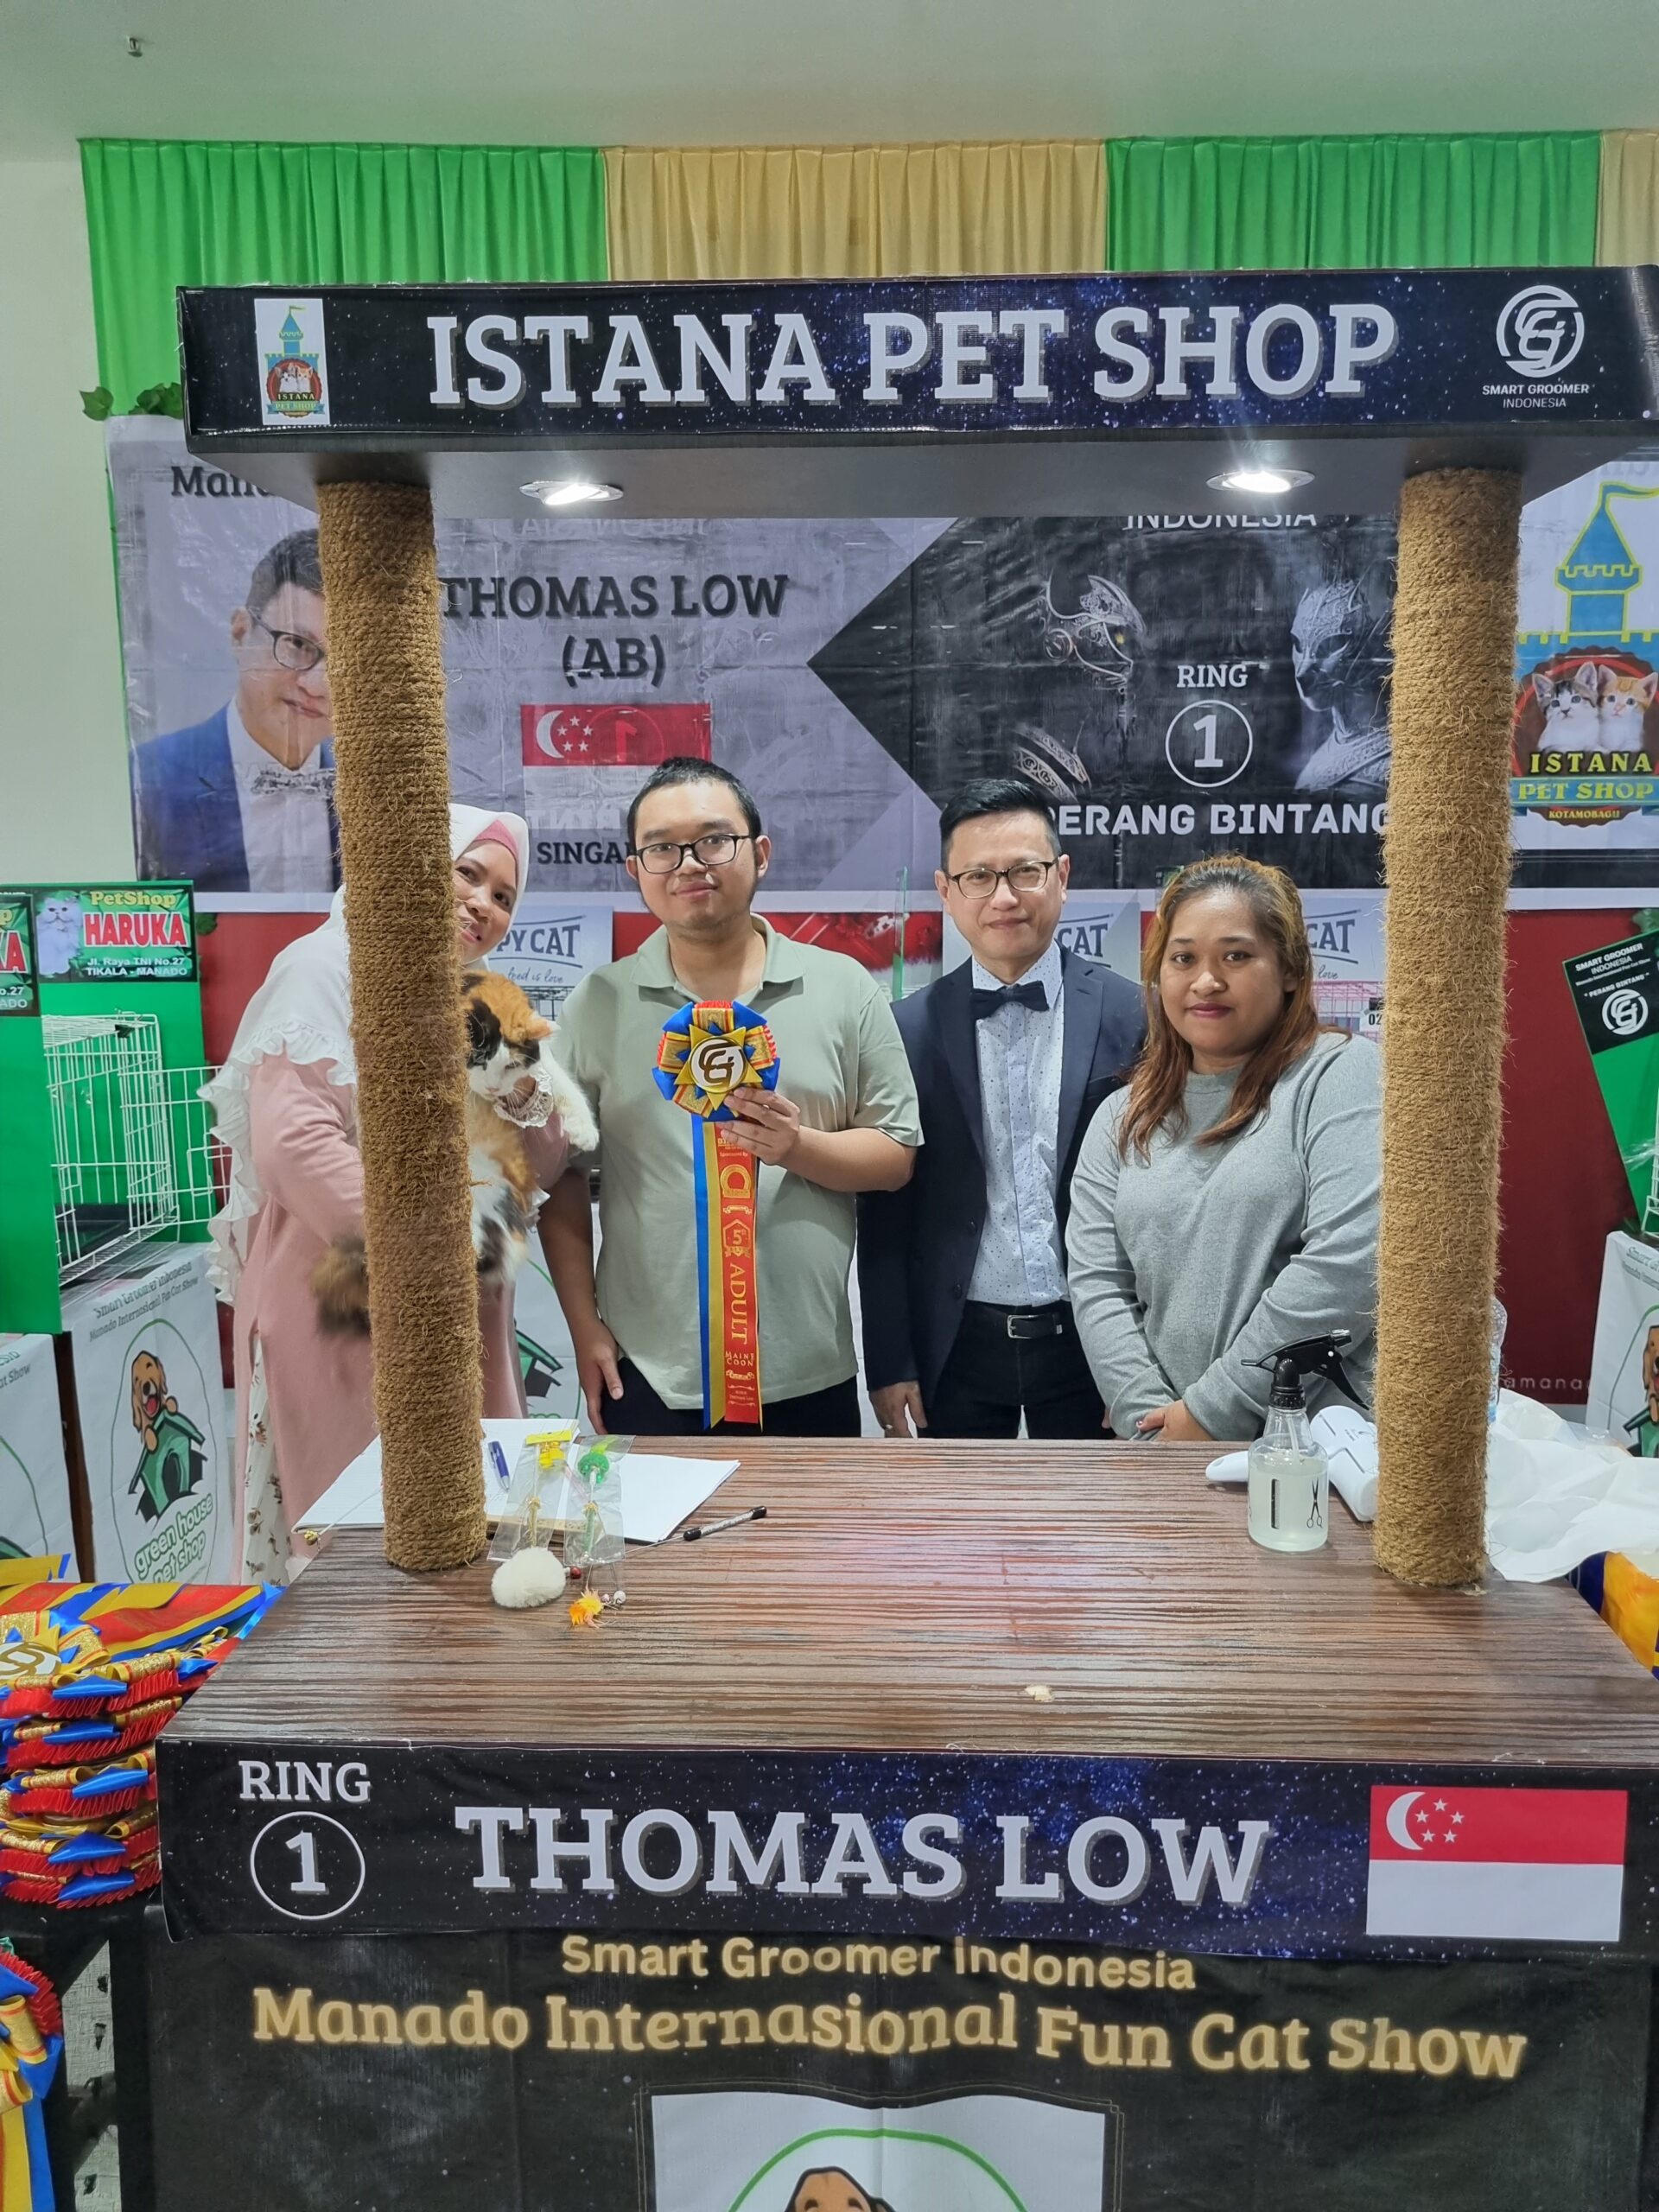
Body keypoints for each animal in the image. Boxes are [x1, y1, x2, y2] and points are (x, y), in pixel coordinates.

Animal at [312, 970, 597, 1336]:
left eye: (510, 1066)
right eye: (479, 1060)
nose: (493, 1088)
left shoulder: (541, 1063)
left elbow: (561, 1083)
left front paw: (585, 1130)